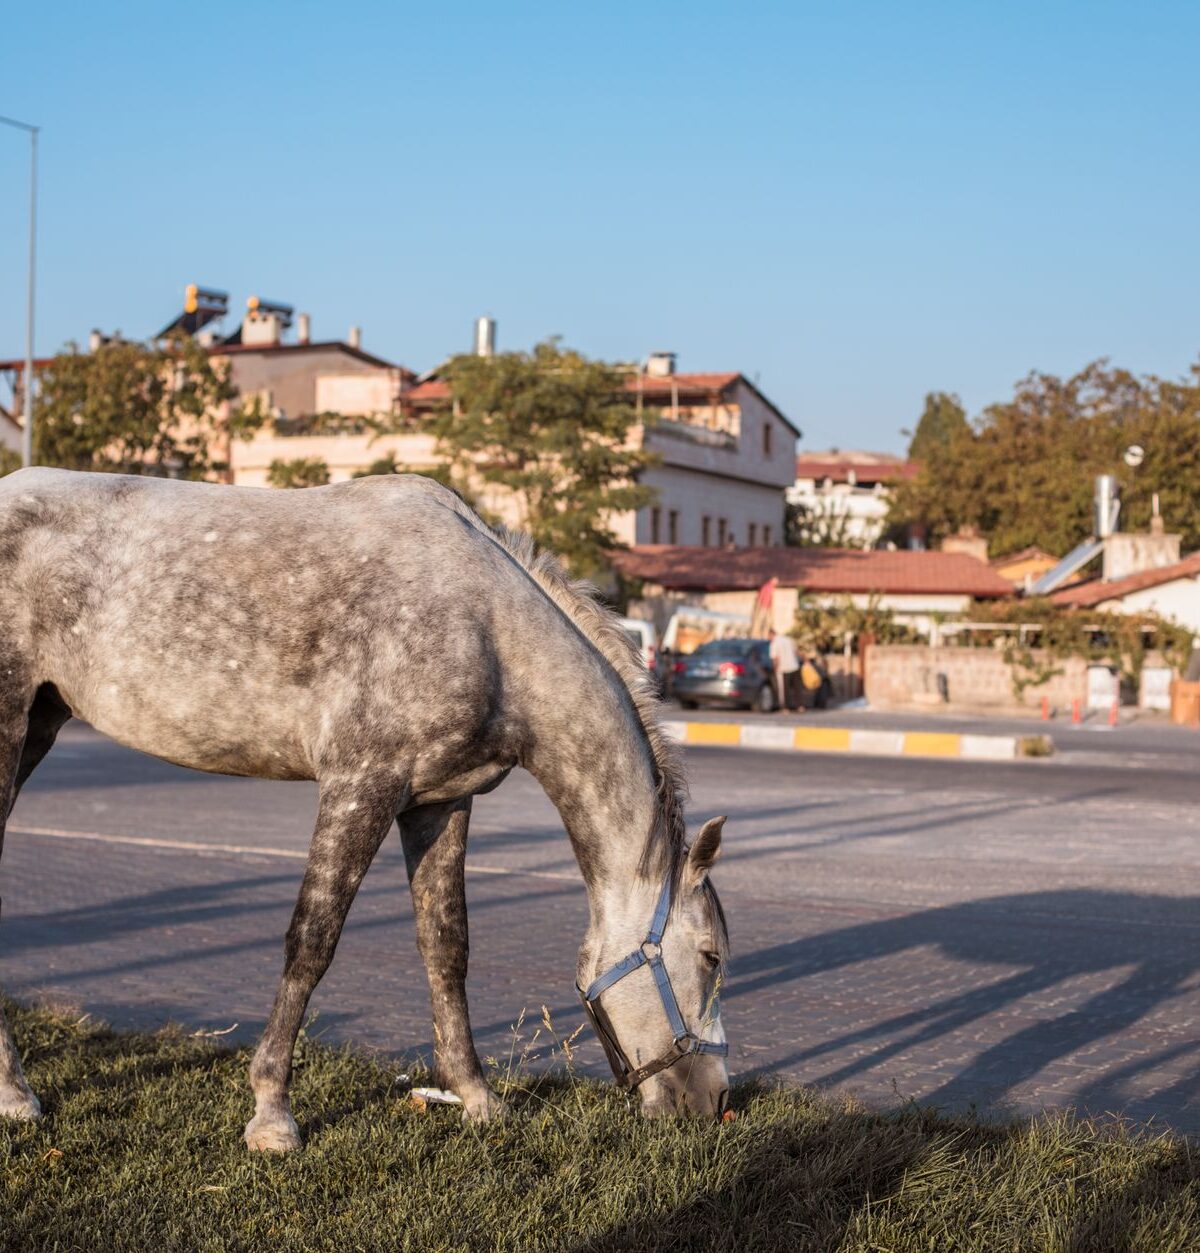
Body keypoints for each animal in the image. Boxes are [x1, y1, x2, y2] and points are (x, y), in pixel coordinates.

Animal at [0, 468, 729, 1150]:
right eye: (713, 955)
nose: (714, 1101)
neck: (488, 629)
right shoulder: (361, 783)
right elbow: (312, 941)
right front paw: (272, 1112)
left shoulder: (440, 802)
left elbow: (447, 945)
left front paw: (477, 1096)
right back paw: (16, 1093)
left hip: (40, 723)